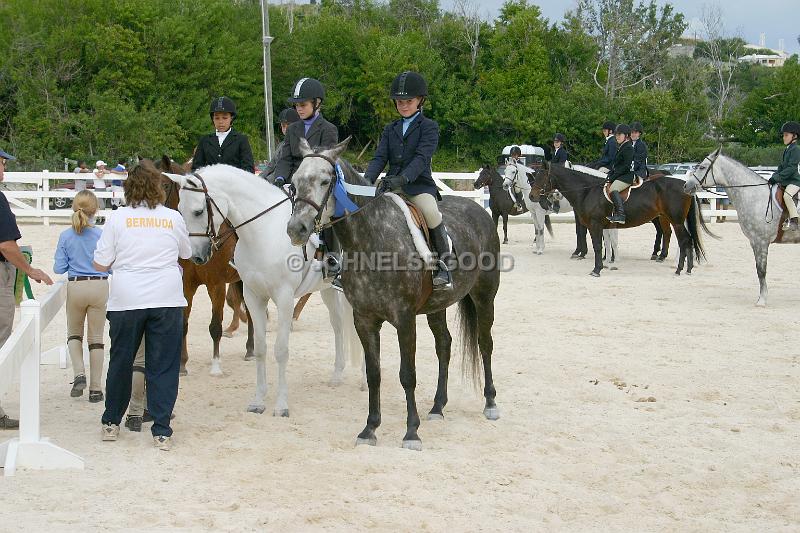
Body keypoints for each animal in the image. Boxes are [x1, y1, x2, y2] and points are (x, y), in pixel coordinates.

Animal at [288, 137, 500, 448]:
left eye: (326, 181)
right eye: (294, 182)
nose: (296, 228)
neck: (371, 241)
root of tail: (480, 211)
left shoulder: (404, 319)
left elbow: (407, 374)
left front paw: (411, 432)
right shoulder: (364, 320)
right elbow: (374, 374)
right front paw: (370, 429)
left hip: (485, 296)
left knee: (485, 343)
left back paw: (490, 403)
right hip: (437, 306)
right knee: (444, 345)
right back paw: (437, 407)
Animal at [532, 163, 708, 276]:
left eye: (543, 178)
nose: (532, 196)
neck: (587, 191)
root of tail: (685, 185)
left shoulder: (595, 225)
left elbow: (597, 246)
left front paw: (597, 270)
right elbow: (604, 244)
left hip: (676, 221)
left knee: (684, 240)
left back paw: (680, 269)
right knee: (683, 240)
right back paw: (686, 269)